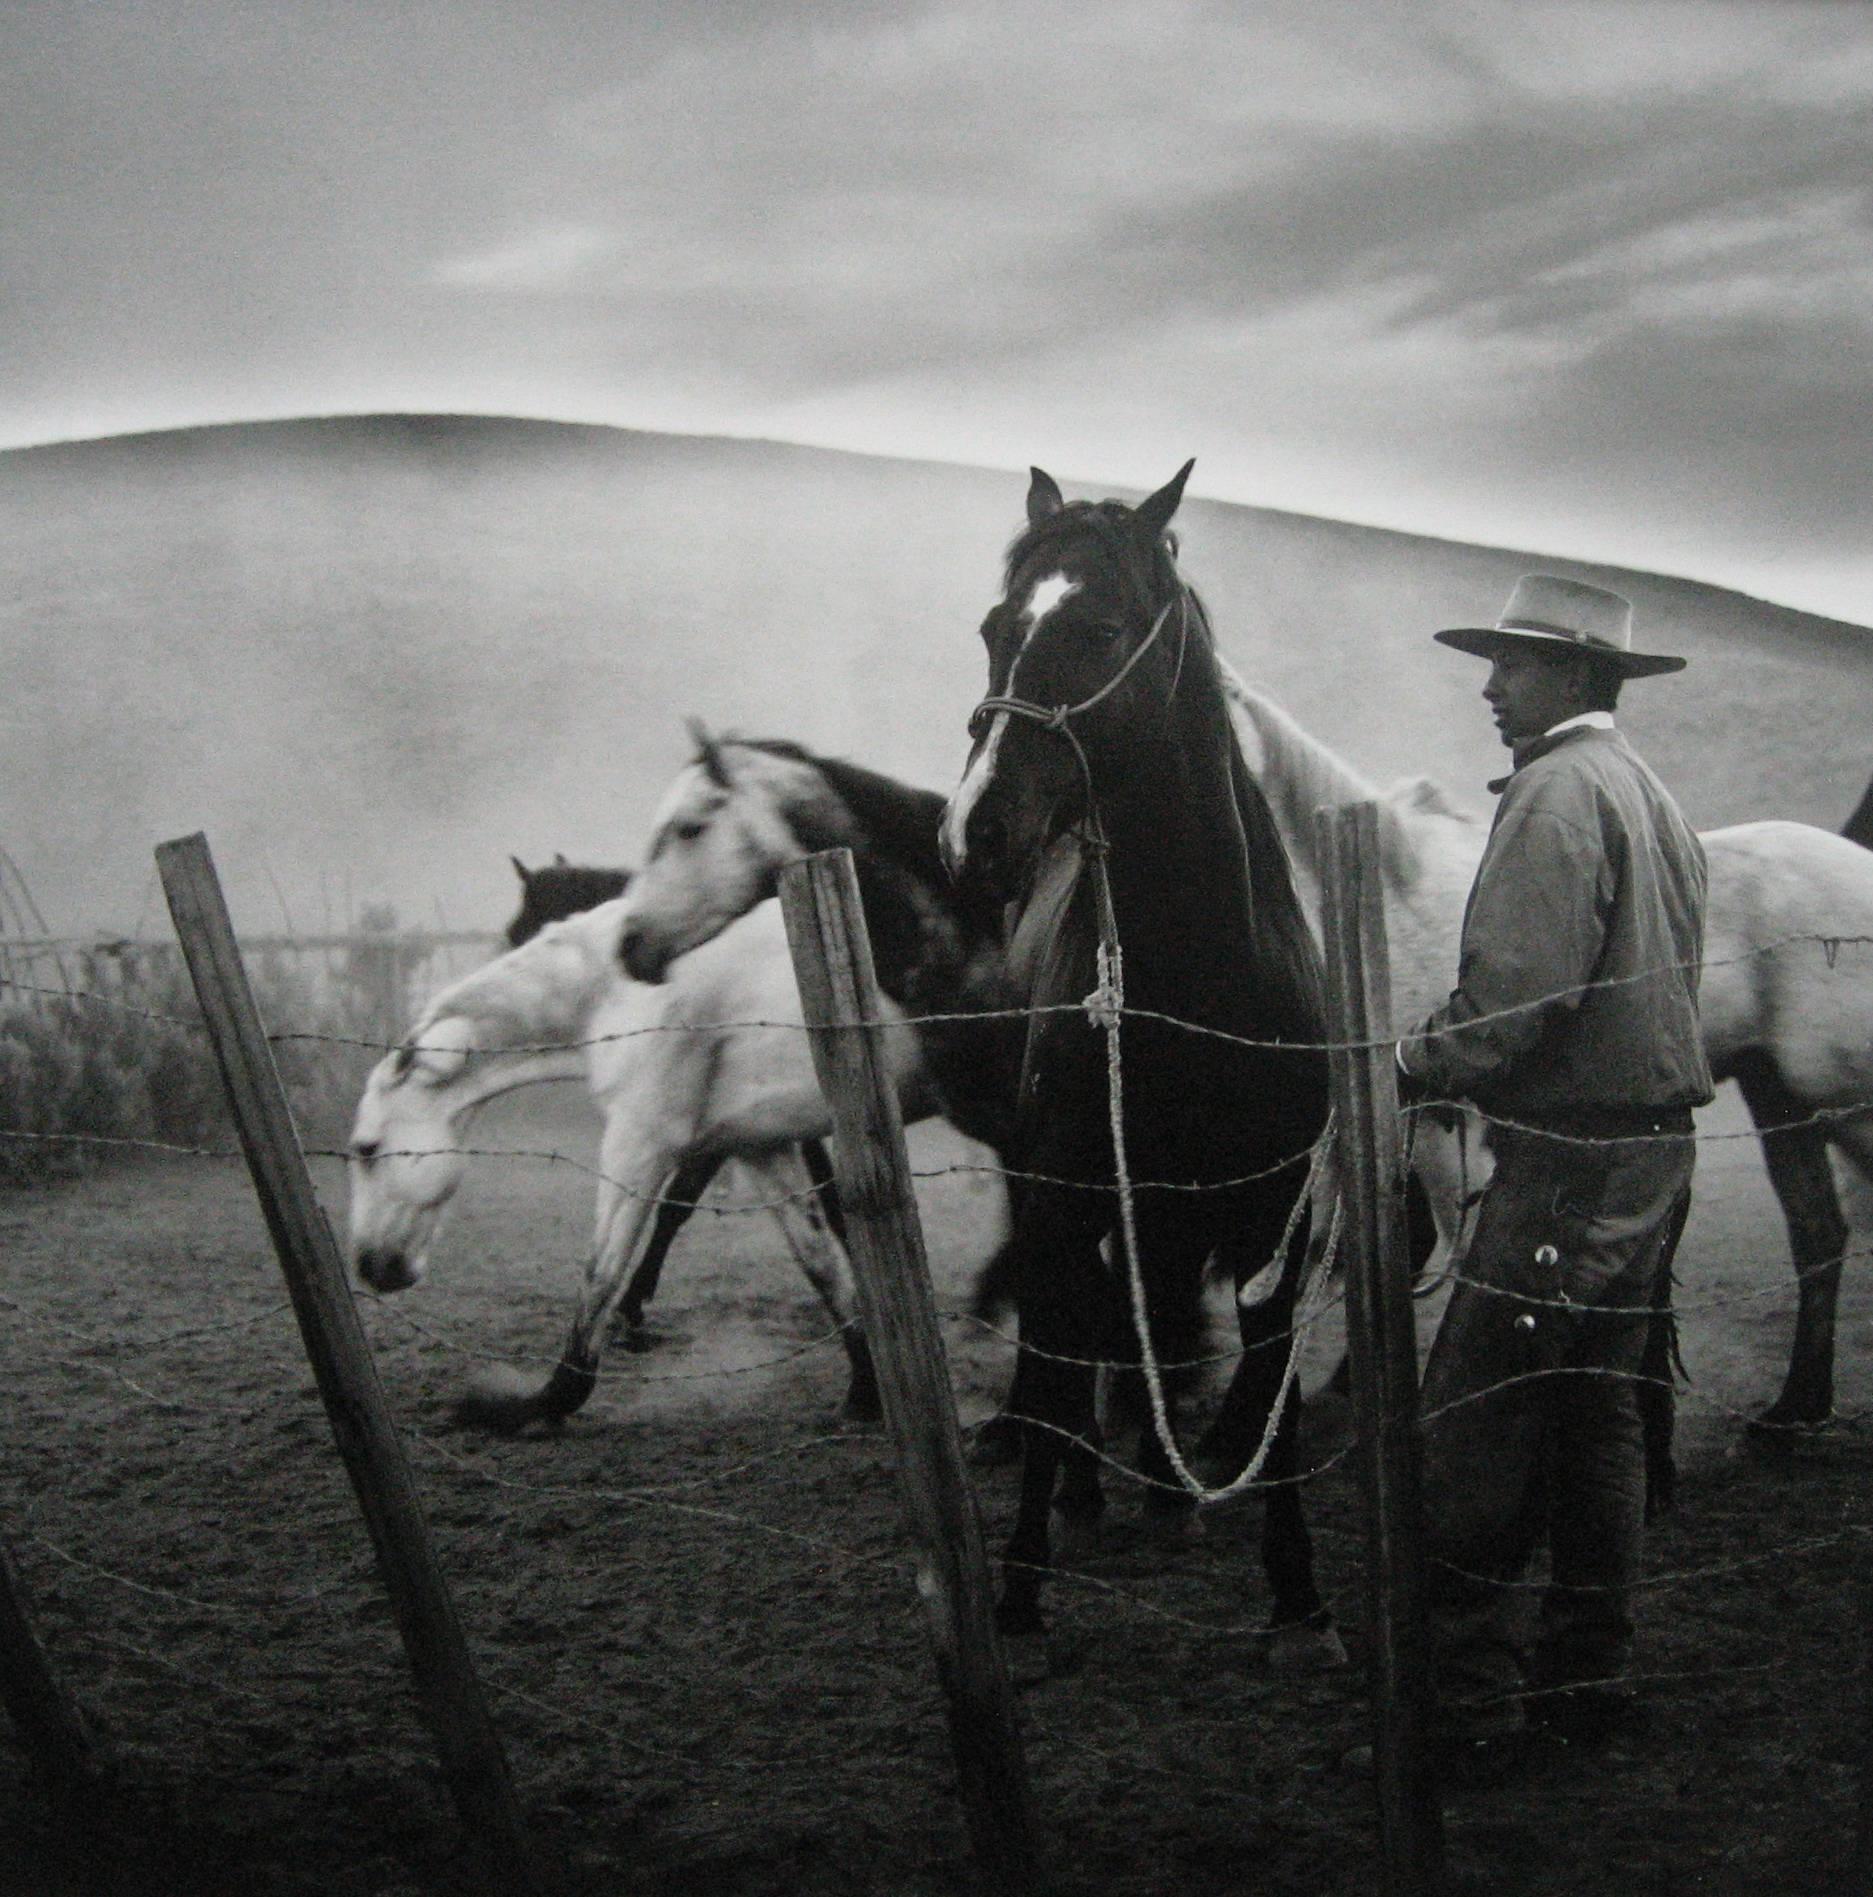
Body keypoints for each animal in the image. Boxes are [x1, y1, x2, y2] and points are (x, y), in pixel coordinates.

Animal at [341, 895, 937, 1426]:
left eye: (366, 1149)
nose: (369, 1266)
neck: (618, 989)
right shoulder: (760, 1147)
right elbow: (823, 1264)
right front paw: (865, 1392)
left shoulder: (641, 1140)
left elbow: (600, 1274)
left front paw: (532, 1406)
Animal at [945, 462, 1343, 1661]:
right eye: (996, 628)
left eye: (1102, 629)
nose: (976, 831)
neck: (1199, 973)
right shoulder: (1065, 1187)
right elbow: (1059, 1344)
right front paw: (1021, 1583)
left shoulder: (1274, 1214)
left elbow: (1273, 1386)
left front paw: (1297, 1592)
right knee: (1069, 1334)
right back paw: (1072, 1474)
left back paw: (1160, 1482)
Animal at [1214, 667, 1873, 1426]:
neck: (1378, 901)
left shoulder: (1422, 1123)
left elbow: (1387, 1245)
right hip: (1781, 1100)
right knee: (1818, 1234)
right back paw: (1798, 1405)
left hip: (1846, 1105)